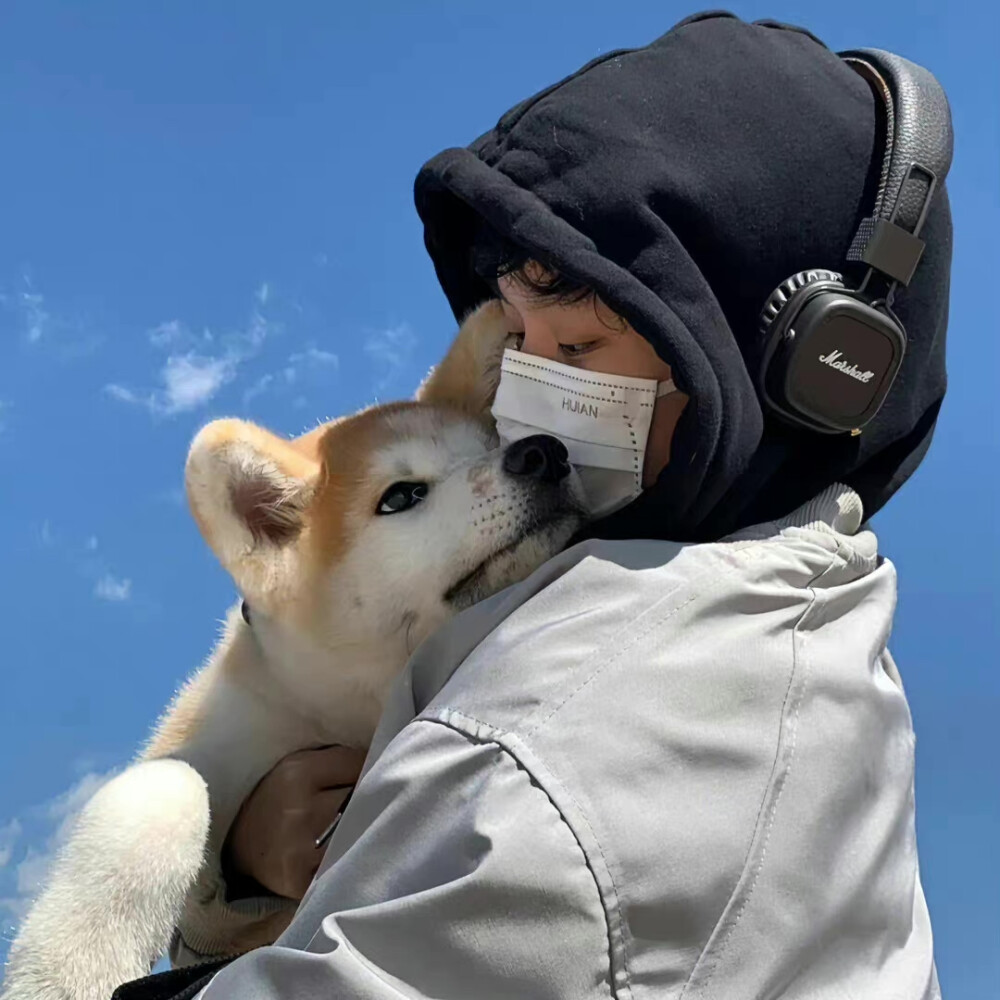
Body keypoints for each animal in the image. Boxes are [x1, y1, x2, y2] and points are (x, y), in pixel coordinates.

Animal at [1, 302, 580, 1000]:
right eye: (402, 496)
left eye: (492, 445)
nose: (542, 452)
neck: (347, 711)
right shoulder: (224, 735)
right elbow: (170, 783)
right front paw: (70, 967)